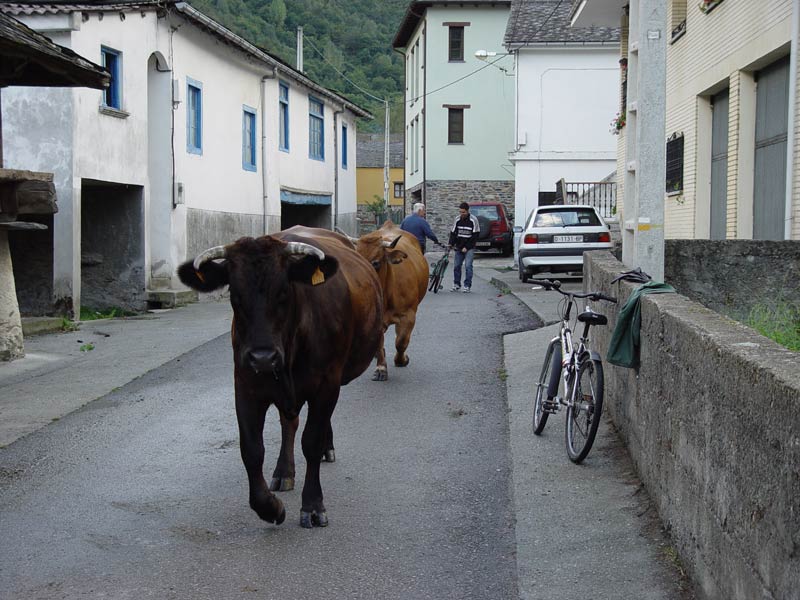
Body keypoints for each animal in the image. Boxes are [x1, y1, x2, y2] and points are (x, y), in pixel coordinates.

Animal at [179, 227, 384, 528]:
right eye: (234, 293)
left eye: (284, 291)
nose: (263, 357)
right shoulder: (246, 385)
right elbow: (252, 449)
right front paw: (269, 507)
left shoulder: (327, 384)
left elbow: (311, 442)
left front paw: (313, 505)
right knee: (290, 423)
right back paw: (284, 471)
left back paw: (326, 448)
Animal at [350, 220, 428, 380]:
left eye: (375, 263)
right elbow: (379, 343)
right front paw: (381, 368)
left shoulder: (408, 315)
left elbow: (401, 341)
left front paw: (401, 360)